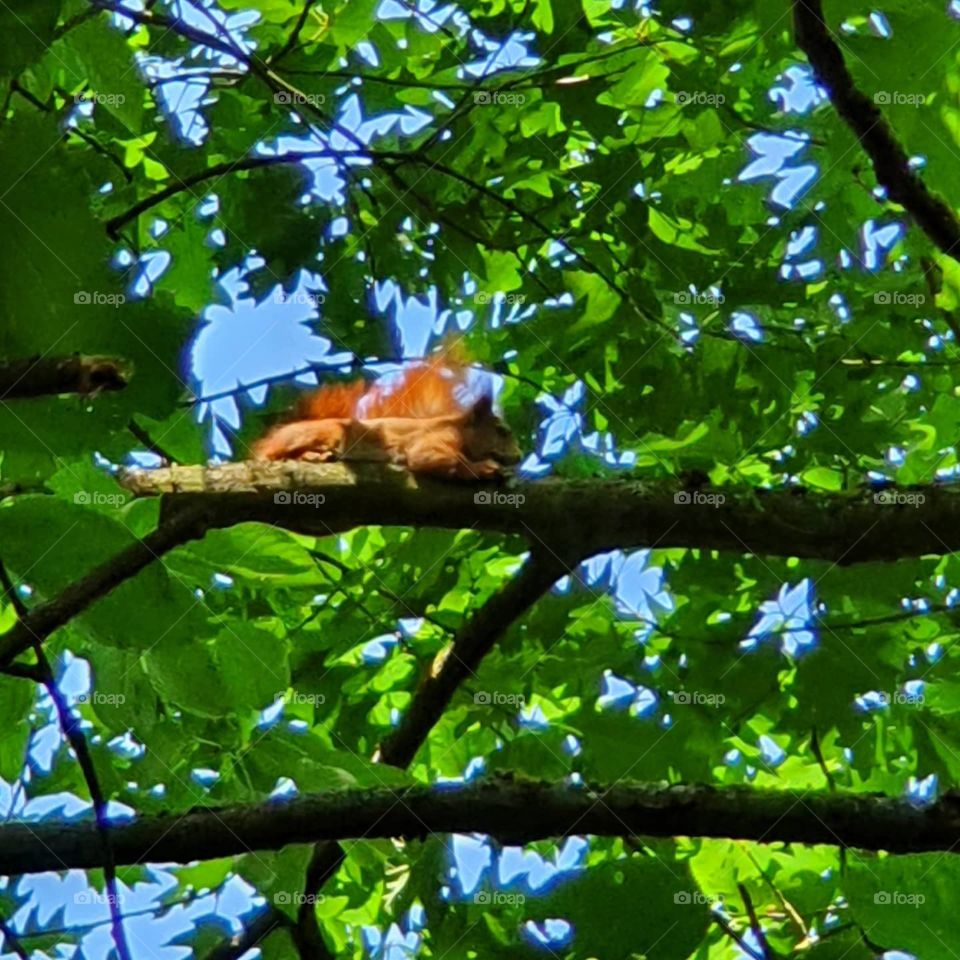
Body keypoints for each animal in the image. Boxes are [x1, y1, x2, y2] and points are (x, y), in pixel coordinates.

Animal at [252, 352, 522, 480]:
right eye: (502, 432)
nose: (519, 457)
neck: (460, 427)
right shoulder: (437, 437)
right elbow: (431, 458)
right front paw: (483, 468)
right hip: (319, 433)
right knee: (272, 456)